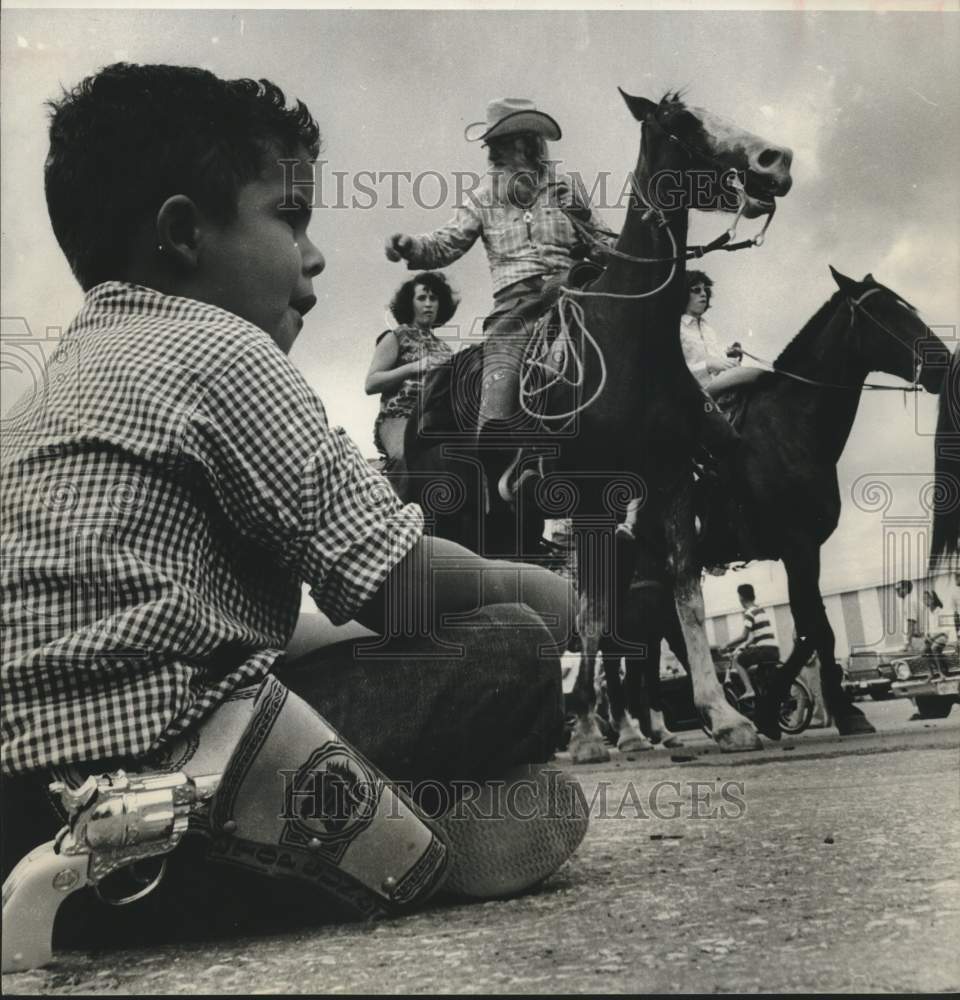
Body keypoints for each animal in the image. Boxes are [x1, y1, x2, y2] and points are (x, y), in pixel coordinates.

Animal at [394, 92, 792, 756]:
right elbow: (593, 614)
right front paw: (584, 732)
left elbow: (682, 596)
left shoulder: (669, 484)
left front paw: (723, 716)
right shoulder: (588, 498)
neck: (629, 338)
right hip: (455, 517)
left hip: (507, 526)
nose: (776, 159)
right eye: (681, 123)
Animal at [600, 268, 952, 752]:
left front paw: (793, 710)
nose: (944, 363)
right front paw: (808, 710)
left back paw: (684, 723)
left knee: (652, 646)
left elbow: (812, 629)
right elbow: (816, 629)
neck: (787, 429)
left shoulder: (807, 550)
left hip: (650, 577)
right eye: (884, 313)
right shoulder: (796, 546)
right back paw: (633, 732)